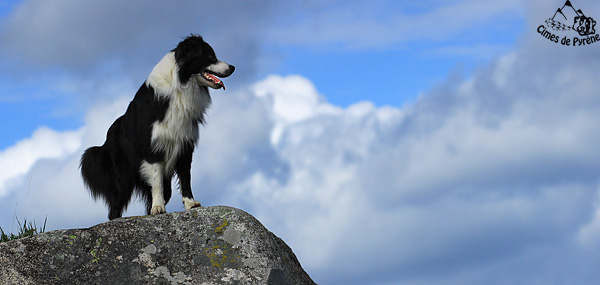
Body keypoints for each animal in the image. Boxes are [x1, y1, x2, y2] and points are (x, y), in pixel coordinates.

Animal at [81, 34, 234, 219]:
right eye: (211, 56)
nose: (233, 67)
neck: (181, 86)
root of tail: (107, 137)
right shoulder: (152, 148)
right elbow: (156, 181)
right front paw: (158, 208)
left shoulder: (185, 145)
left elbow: (186, 178)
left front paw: (190, 204)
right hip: (122, 177)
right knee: (115, 205)